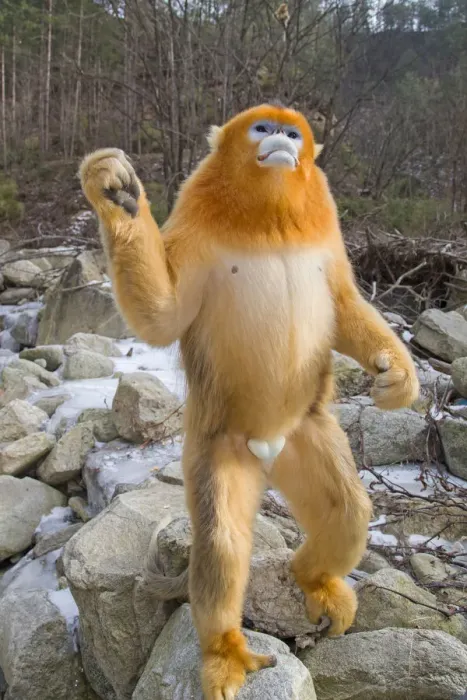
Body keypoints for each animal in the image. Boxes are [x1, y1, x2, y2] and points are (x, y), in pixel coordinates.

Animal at [79, 103, 419, 700]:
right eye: (262, 128)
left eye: (291, 132)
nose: (280, 139)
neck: (270, 219)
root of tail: (268, 447)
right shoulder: (194, 227)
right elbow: (162, 318)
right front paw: (115, 193)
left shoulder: (327, 231)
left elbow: (343, 301)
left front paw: (396, 374)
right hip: (216, 446)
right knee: (220, 540)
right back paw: (224, 649)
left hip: (308, 433)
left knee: (348, 510)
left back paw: (315, 579)